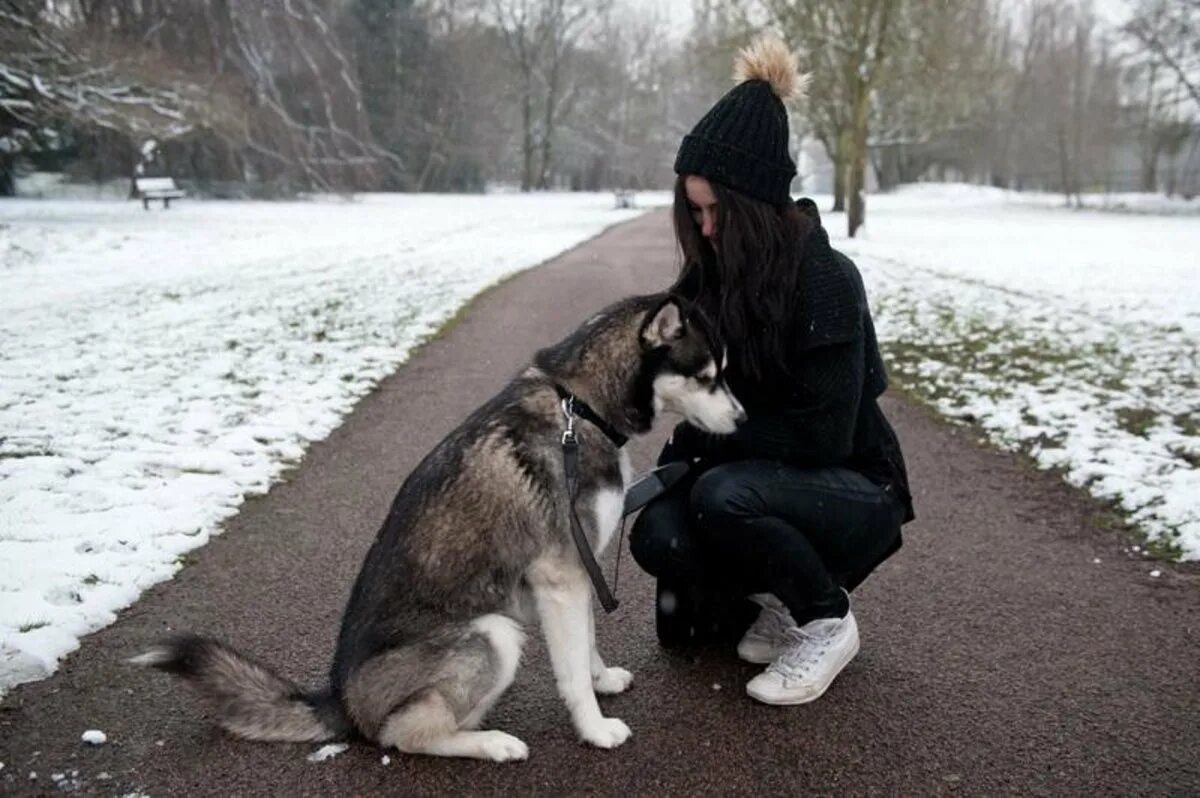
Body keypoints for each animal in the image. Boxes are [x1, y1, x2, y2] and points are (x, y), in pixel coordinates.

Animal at [136, 292, 744, 758]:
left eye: (722, 375)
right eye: (706, 377)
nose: (742, 420)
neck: (581, 406)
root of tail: (341, 699)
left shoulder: (576, 572)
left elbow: (586, 645)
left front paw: (602, 680)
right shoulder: (562, 574)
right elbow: (571, 669)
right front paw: (594, 729)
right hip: (492, 634)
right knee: (404, 734)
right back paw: (492, 743)